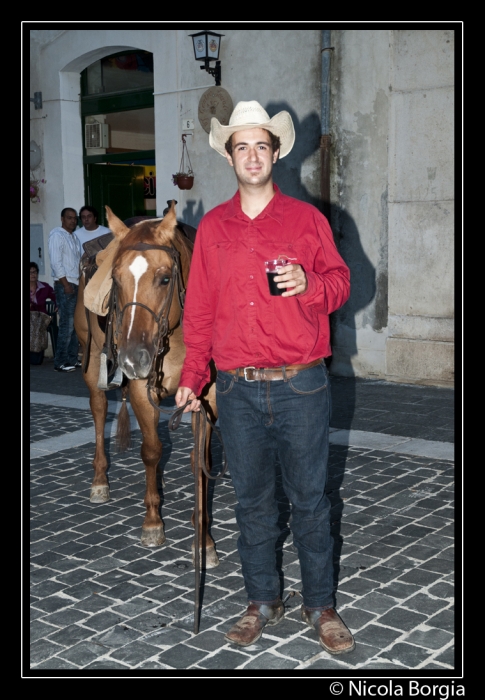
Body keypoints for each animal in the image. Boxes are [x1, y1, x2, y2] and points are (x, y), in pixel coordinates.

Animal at [73, 202, 218, 568]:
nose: (132, 358)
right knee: (99, 410)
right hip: (92, 359)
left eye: (165, 278)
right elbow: (151, 450)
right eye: (115, 279)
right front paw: (153, 522)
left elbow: (200, 459)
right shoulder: (141, 389)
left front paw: (205, 541)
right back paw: (100, 480)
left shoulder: (207, 398)